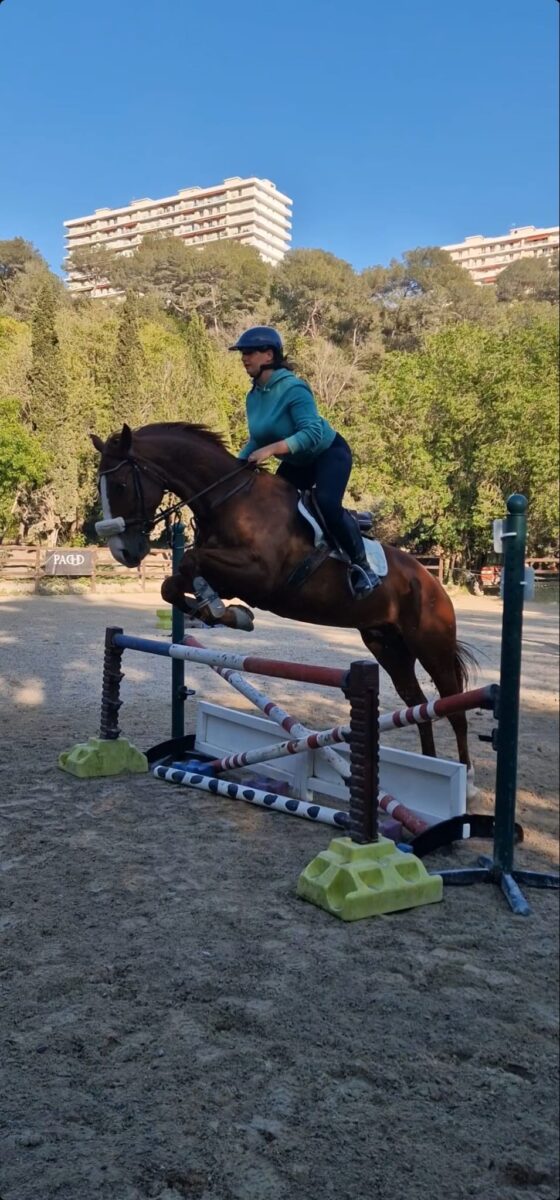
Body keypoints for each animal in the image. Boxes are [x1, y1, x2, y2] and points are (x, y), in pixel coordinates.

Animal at [91, 424, 477, 796]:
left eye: (121, 484)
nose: (123, 552)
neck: (230, 501)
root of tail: (430, 581)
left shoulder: (259, 576)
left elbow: (191, 562)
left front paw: (223, 610)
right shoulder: (231, 576)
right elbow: (174, 583)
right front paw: (223, 612)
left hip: (431, 646)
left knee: (454, 708)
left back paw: (468, 783)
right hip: (388, 646)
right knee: (419, 705)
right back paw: (433, 767)